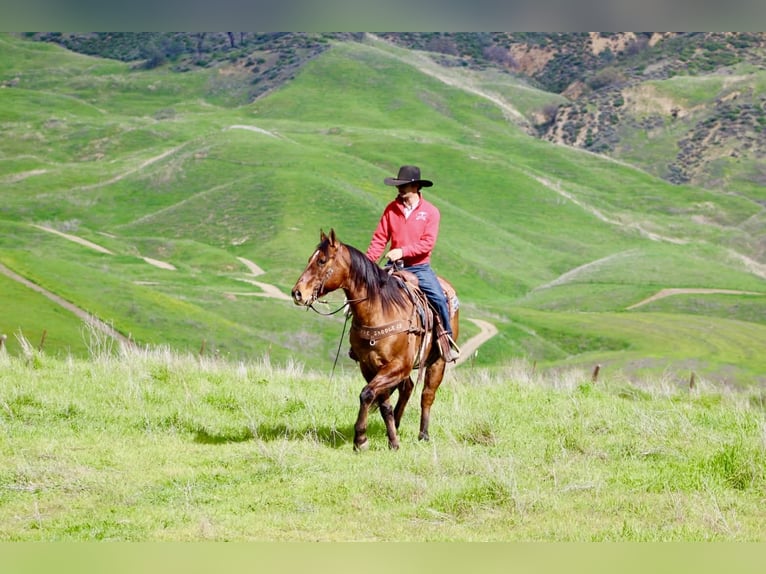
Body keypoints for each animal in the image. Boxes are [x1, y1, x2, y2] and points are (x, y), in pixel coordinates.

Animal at [291, 229, 459, 451]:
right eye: (311, 259)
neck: (380, 310)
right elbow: (382, 403)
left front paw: (361, 439)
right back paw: (397, 423)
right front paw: (392, 440)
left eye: (322, 261)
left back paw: (423, 435)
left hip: (437, 361)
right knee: (407, 388)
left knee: (427, 395)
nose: (297, 293)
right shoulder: (370, 366)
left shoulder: (398, 365)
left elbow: (366, 394)